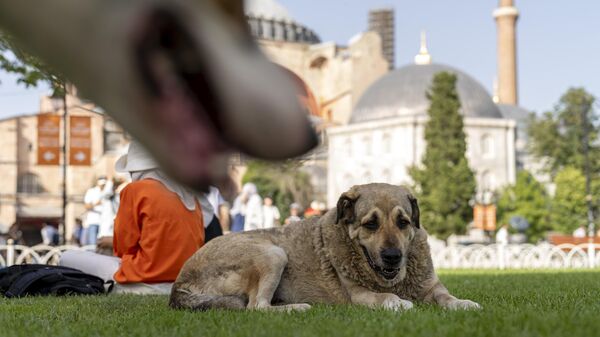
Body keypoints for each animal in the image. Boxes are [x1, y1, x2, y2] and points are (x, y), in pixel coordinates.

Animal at [171, 182, 480, 312]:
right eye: (370, 224)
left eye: (403, 222)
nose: (393, 257)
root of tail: (179, 283)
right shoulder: (359, 295)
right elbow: (385, 298)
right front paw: (396, 302)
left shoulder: (431, 287)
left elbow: (447, 297)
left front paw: (463, 303)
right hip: (273, 253)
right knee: (256, 307)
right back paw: (295, 308)